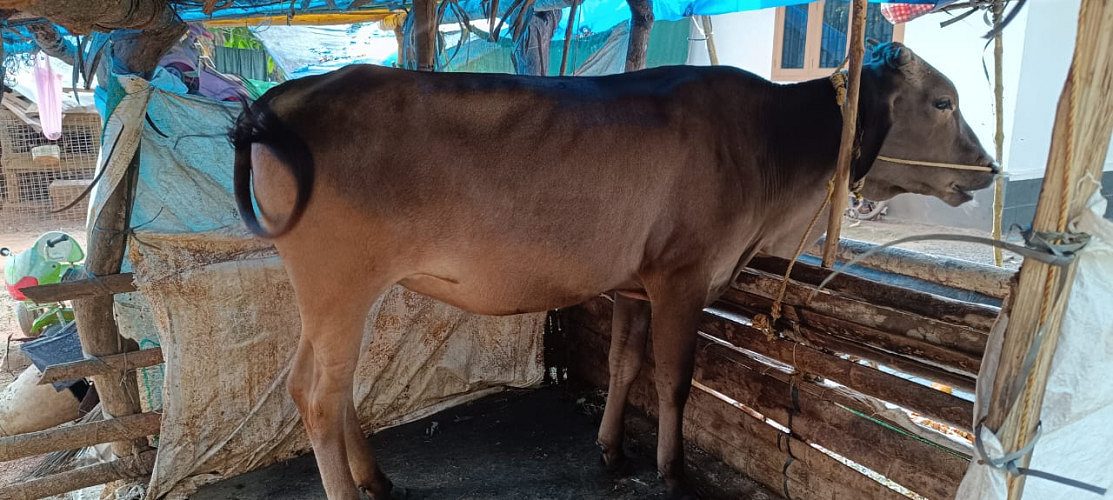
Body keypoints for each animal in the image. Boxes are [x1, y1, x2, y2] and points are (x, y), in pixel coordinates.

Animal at [230, 42, 996, 499]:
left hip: (334, 294)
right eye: (943, 101)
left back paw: (377, 478)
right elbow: (674, 379)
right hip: (339, 283)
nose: (989, 169)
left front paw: (611, 451)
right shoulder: (684, 275)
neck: (776, 151)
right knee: (317, 397)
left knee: (322, 386)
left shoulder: (635, 281)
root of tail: (281, 98)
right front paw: (673, 470)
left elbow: (626, 363)